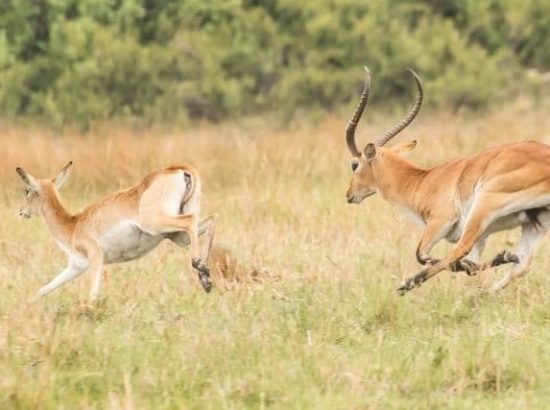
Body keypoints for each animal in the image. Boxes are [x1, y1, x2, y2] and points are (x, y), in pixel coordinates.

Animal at [15, 161, 218, 302]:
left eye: (27, 190)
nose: (21, 211)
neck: (73, 225)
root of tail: (178, 168)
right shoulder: (77, 266)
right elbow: (44, 288)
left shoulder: (96, 257)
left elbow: (93, 293)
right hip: (176, 236)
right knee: (210, 220)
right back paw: (206, 278)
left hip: (157, 224)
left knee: (191, 220)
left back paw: (198, 266)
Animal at [348, 65, 550, 294]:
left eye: (354, 164)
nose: (350, 195)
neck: (421, 182)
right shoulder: (484, 235)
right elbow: (470, 264)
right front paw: (497, 258)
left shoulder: (441, 222)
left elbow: (423, 254)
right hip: (536, 223)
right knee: (520, 265)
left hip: (484, 205)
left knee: (460, 249)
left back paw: (407, 284)